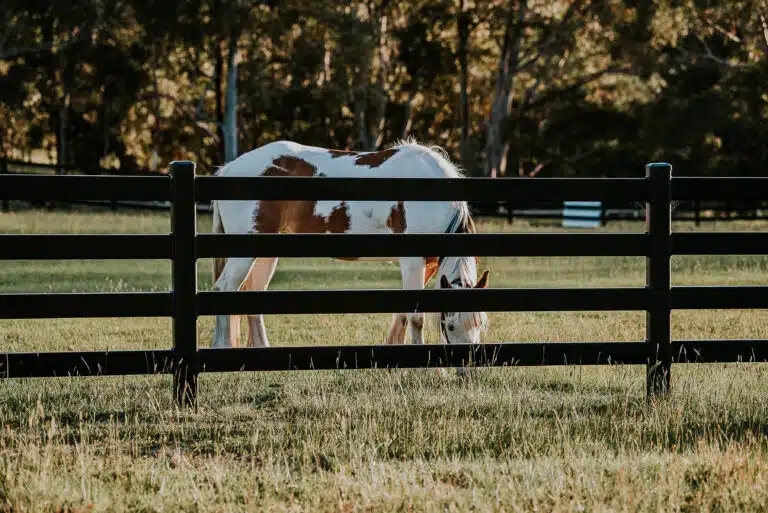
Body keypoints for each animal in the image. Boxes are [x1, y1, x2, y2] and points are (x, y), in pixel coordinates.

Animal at [209, 138, 490, 349]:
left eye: (481, 323)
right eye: (449, 325)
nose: (465, 370)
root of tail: (229, 169)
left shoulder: (427, 266)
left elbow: (402, 313)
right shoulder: (412, 262)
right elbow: (416, 318)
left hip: (266, 251)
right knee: (223, 288)